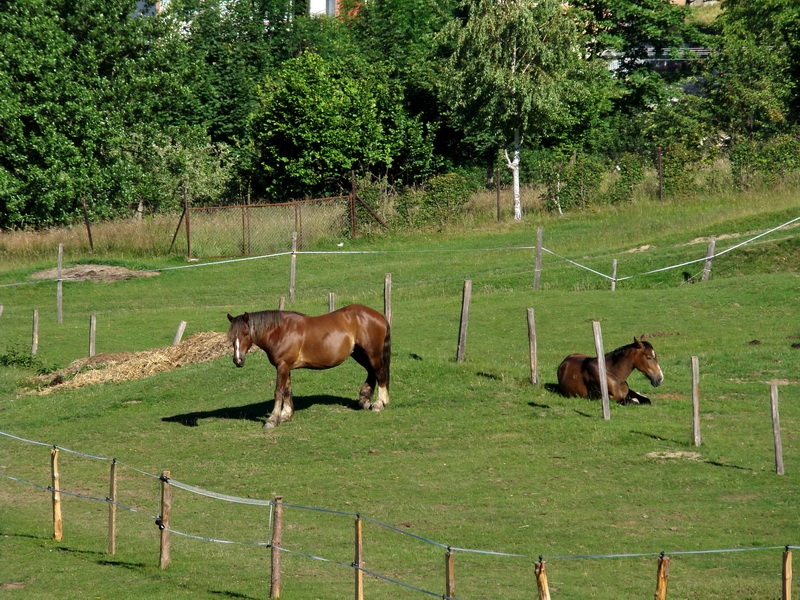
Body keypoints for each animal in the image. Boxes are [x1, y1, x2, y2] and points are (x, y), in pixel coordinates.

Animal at [225, 304, 390, 426]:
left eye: (246, 333)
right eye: (232, 336)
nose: (238, 360)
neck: (280, 332)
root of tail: (378, 315)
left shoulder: (282, 366)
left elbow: (278, 391)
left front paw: (272, 419)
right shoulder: (285, 366)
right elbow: (287, 390)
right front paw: (286, 415)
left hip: (372, 353)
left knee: (380, 373)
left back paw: (379, 404)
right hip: (359, 353)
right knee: (372, 372)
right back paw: (364, 399)